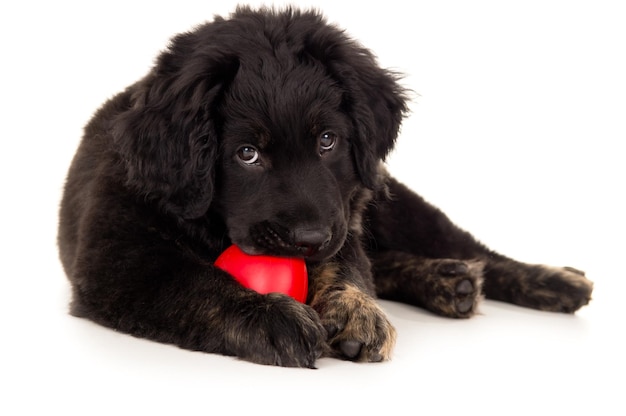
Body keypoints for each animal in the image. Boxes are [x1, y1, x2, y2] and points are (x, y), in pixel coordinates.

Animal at [57, 4, 588, 366]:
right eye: (246, 154)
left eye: (327, 141)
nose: (308, 239)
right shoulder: (115, 259)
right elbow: (196, 284)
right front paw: (268, 316)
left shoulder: (343, 209)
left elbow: (347, 261)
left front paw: (354, 312)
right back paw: (447, 281)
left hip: (394, 202)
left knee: (476, 252)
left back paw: (552, 280)